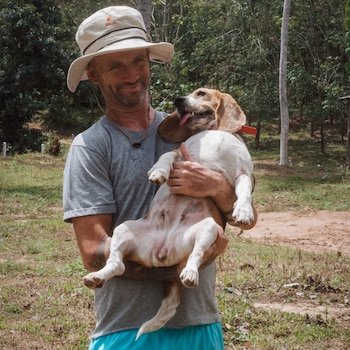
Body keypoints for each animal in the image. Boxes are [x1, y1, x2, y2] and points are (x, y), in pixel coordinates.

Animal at [83, 87, 256, 340]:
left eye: (201, 93)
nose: (178, 100)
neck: (214, 131)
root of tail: (162, 250)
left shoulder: (244, 174)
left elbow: (243, 193)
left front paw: (243, 211)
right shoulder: (179, 153)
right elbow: (167, 157)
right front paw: (158, 172)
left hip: (208, 229)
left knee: (195, 256)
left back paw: (191, 274)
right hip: (123, 228)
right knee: (117, 264)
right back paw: (96, 276)